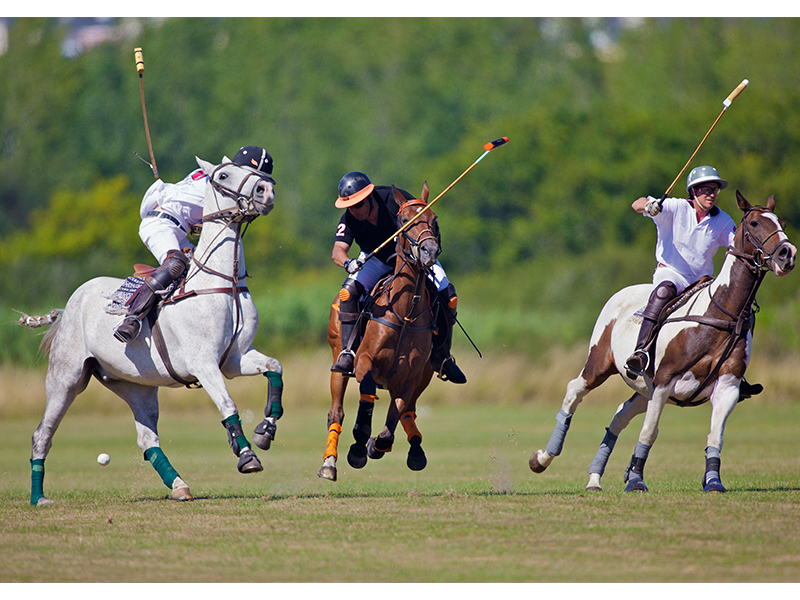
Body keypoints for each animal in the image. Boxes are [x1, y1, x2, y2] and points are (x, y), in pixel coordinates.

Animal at [20, 156, 284, 506]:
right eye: (226, 174)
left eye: (261, 174)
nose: (266, 191)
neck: (221, 283)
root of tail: (68, 306)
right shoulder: (204, 364)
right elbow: (229, 406)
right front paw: (247, 456)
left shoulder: (235, 360)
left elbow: (274, 367)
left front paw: (266, 430)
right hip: (66, 377)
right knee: (42, 433)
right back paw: (39, 497)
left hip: (136, 385)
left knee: (147, 439)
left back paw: (180, 486)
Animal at [318, 183, 440, 482]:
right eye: (403, 221)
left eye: (434, 219)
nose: (430, 251)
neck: (405, 314)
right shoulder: (365, 363)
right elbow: (367, 394)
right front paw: (359, 446)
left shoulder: (410, 378)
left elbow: (394, 418)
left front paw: (376, 445)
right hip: (337, 361)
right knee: (336, 412)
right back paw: (329, 463)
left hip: (426, 376)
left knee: (409, 412)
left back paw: (415, 451)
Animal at [528, 191, 796, 492]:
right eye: (753, 223)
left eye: (782, 222)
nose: (787, 254)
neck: (722, 313)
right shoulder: (665, 379)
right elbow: (649, 431)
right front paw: (635, 480)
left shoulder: (727, 386)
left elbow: (715, 435)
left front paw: (713, 480)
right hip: (600, 363)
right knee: (574, 390)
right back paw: (543, 458)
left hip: (644, 387)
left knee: (619, 415)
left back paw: (594, 479)